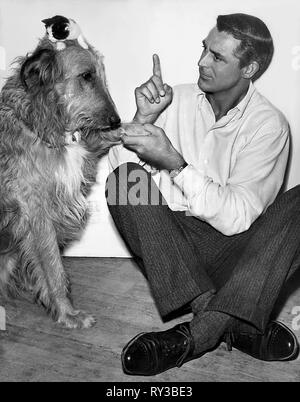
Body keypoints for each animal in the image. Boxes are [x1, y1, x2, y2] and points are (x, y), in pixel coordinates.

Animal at [0, 17, 123, 328]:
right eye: (87, 76)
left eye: (101, 74)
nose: (115, 120)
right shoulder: (37, 213)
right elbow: (54, 268)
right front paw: (68, 313)